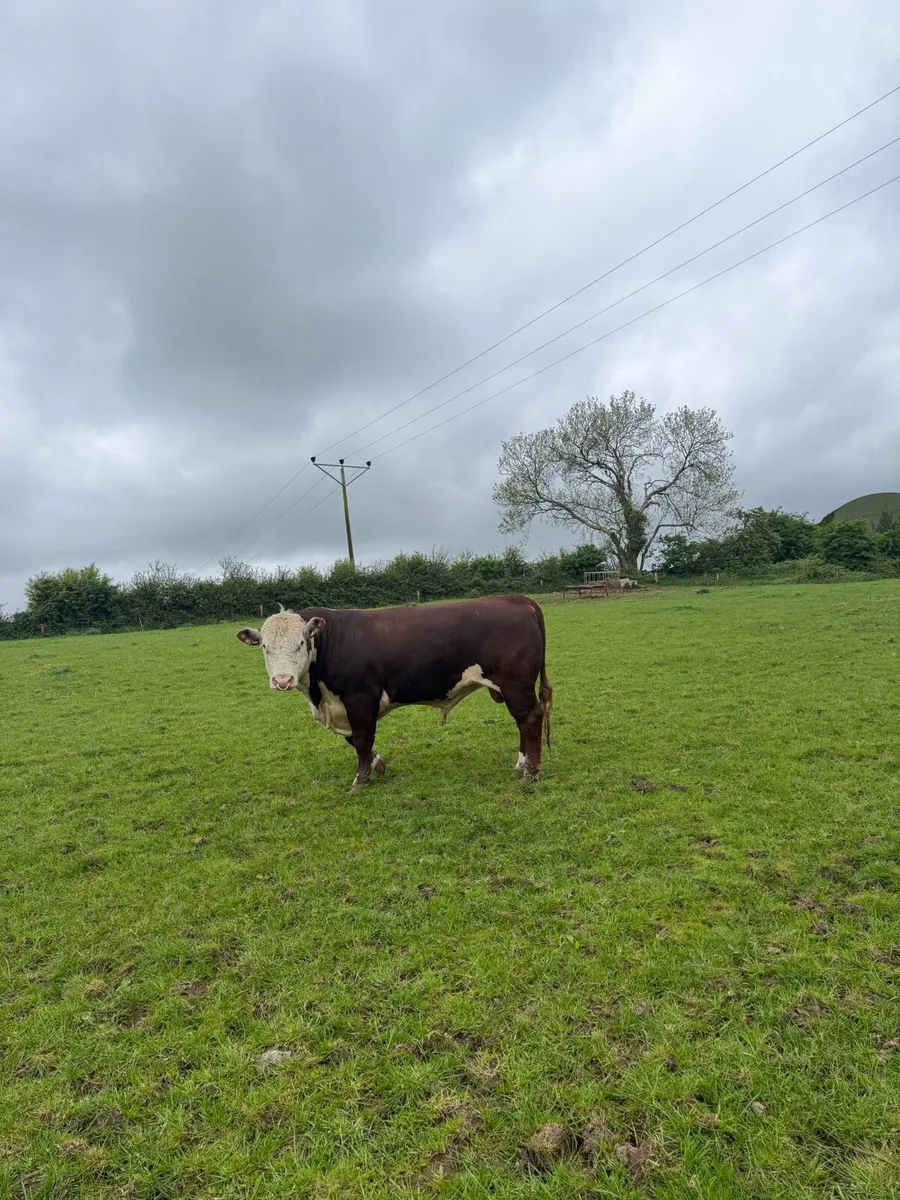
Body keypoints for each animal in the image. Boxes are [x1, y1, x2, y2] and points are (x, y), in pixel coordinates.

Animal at [236, 593, 552, 793]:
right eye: (265, 647)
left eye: (301, 643)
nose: (282, 679)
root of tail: (516, 599)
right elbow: (354, 740)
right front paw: (377, 766)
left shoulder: (360, 698)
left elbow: (361, 740)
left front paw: (361, 780)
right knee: (523, 722)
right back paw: (521, 765)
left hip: (516, 684)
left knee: (529, 719)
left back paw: (531, 772)